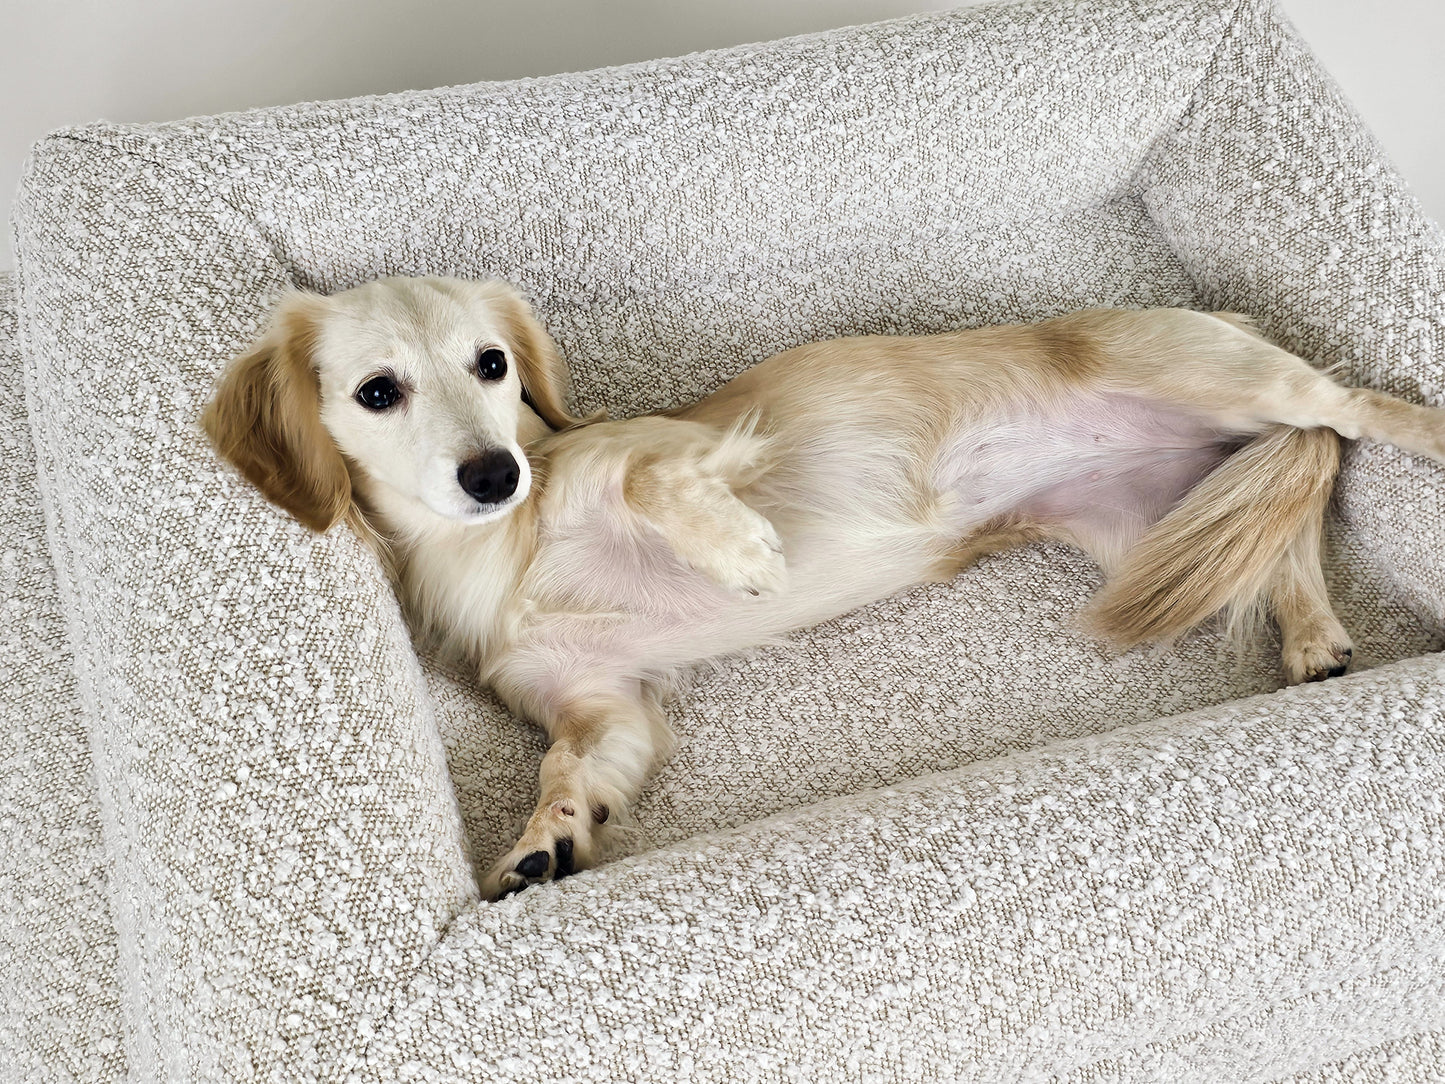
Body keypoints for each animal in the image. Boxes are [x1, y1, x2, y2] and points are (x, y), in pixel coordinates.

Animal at [203, 277, 1445, 901]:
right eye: (376, 391)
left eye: (493, 366)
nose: (493, 472)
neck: (496, 549)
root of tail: (1219, 315)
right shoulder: (599, 705)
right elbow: (567, 767)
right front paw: (545, 839)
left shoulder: (682, 450)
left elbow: (659, 479)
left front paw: (743, 553)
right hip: (1150, 527)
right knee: (1283, 541)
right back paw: (1312, 639)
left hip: (1223, 381)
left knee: (1357, 409)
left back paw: (1426, 434)